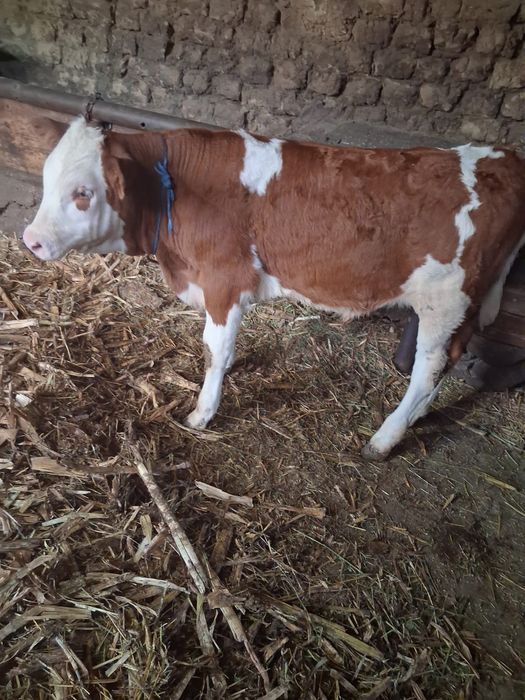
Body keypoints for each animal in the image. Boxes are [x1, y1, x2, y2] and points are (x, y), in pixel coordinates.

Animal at [22, 117, 525, 460]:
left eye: (83, 193)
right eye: (46, 180)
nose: (31, 240)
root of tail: (502, 156)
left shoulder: (223, 280)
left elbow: (214, 348)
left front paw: (202, 413)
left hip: (447, 299)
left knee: (429, 367)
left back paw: (384, 438)